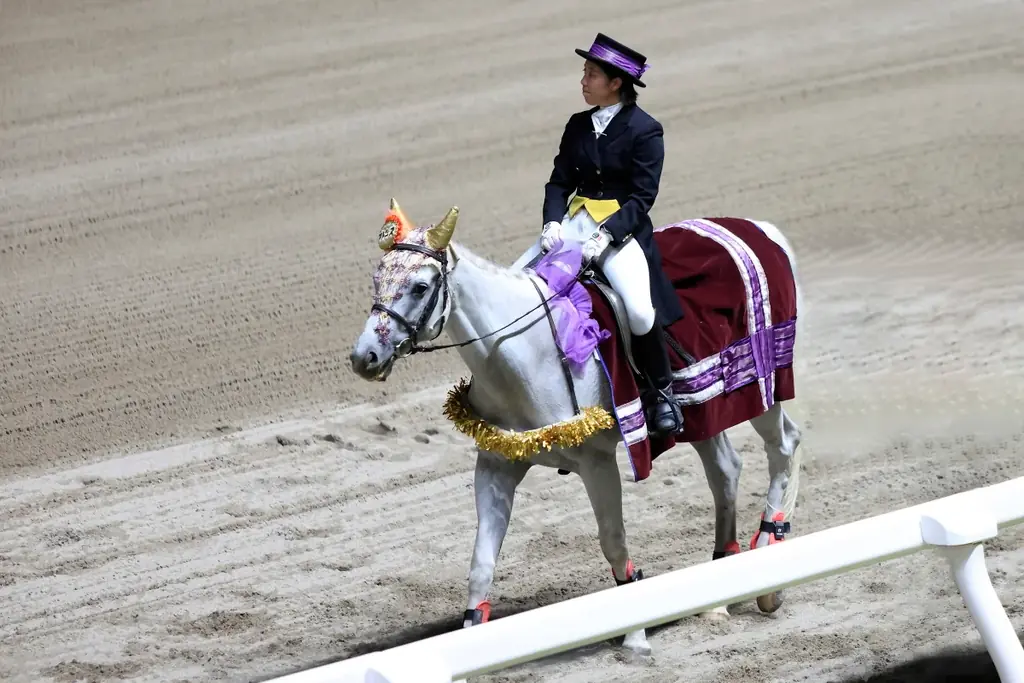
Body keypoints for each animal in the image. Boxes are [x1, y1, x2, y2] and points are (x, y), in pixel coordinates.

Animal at [349, 199, 805, 655]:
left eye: (420, 286)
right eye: (376, 278)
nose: (363, 357)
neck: (525, 352)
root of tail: (757, 228)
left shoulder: (598, 463)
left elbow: (613, 540)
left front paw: (635, 635)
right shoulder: (497, 464)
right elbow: (481, 562)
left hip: (760, 387)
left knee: (785, 445)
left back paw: (769, 558)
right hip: (703, 411)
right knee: (725, 470)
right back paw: (721, 591)